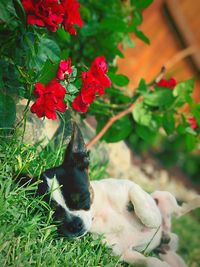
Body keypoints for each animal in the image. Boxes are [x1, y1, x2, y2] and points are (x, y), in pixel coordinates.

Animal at [18, 124, 199, 267]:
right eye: (52, 212)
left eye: (82, 198)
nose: (74, 225)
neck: (98, 215)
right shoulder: (124, 252)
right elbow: (149, 262)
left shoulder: (129, 187)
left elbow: (139, 202)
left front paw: (152, 221)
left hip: (164, 195)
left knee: (178, 209)